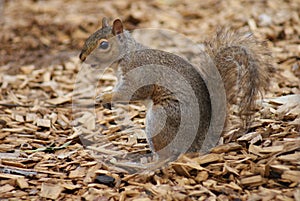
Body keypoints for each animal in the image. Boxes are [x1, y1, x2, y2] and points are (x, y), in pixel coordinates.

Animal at [78, 16, 274, 159]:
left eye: (104, 45)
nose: (81, 58)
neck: (127, 54)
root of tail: (201, 143)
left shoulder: (138, 72)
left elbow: (132, 92)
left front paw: (106, 97)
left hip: (161, 118)